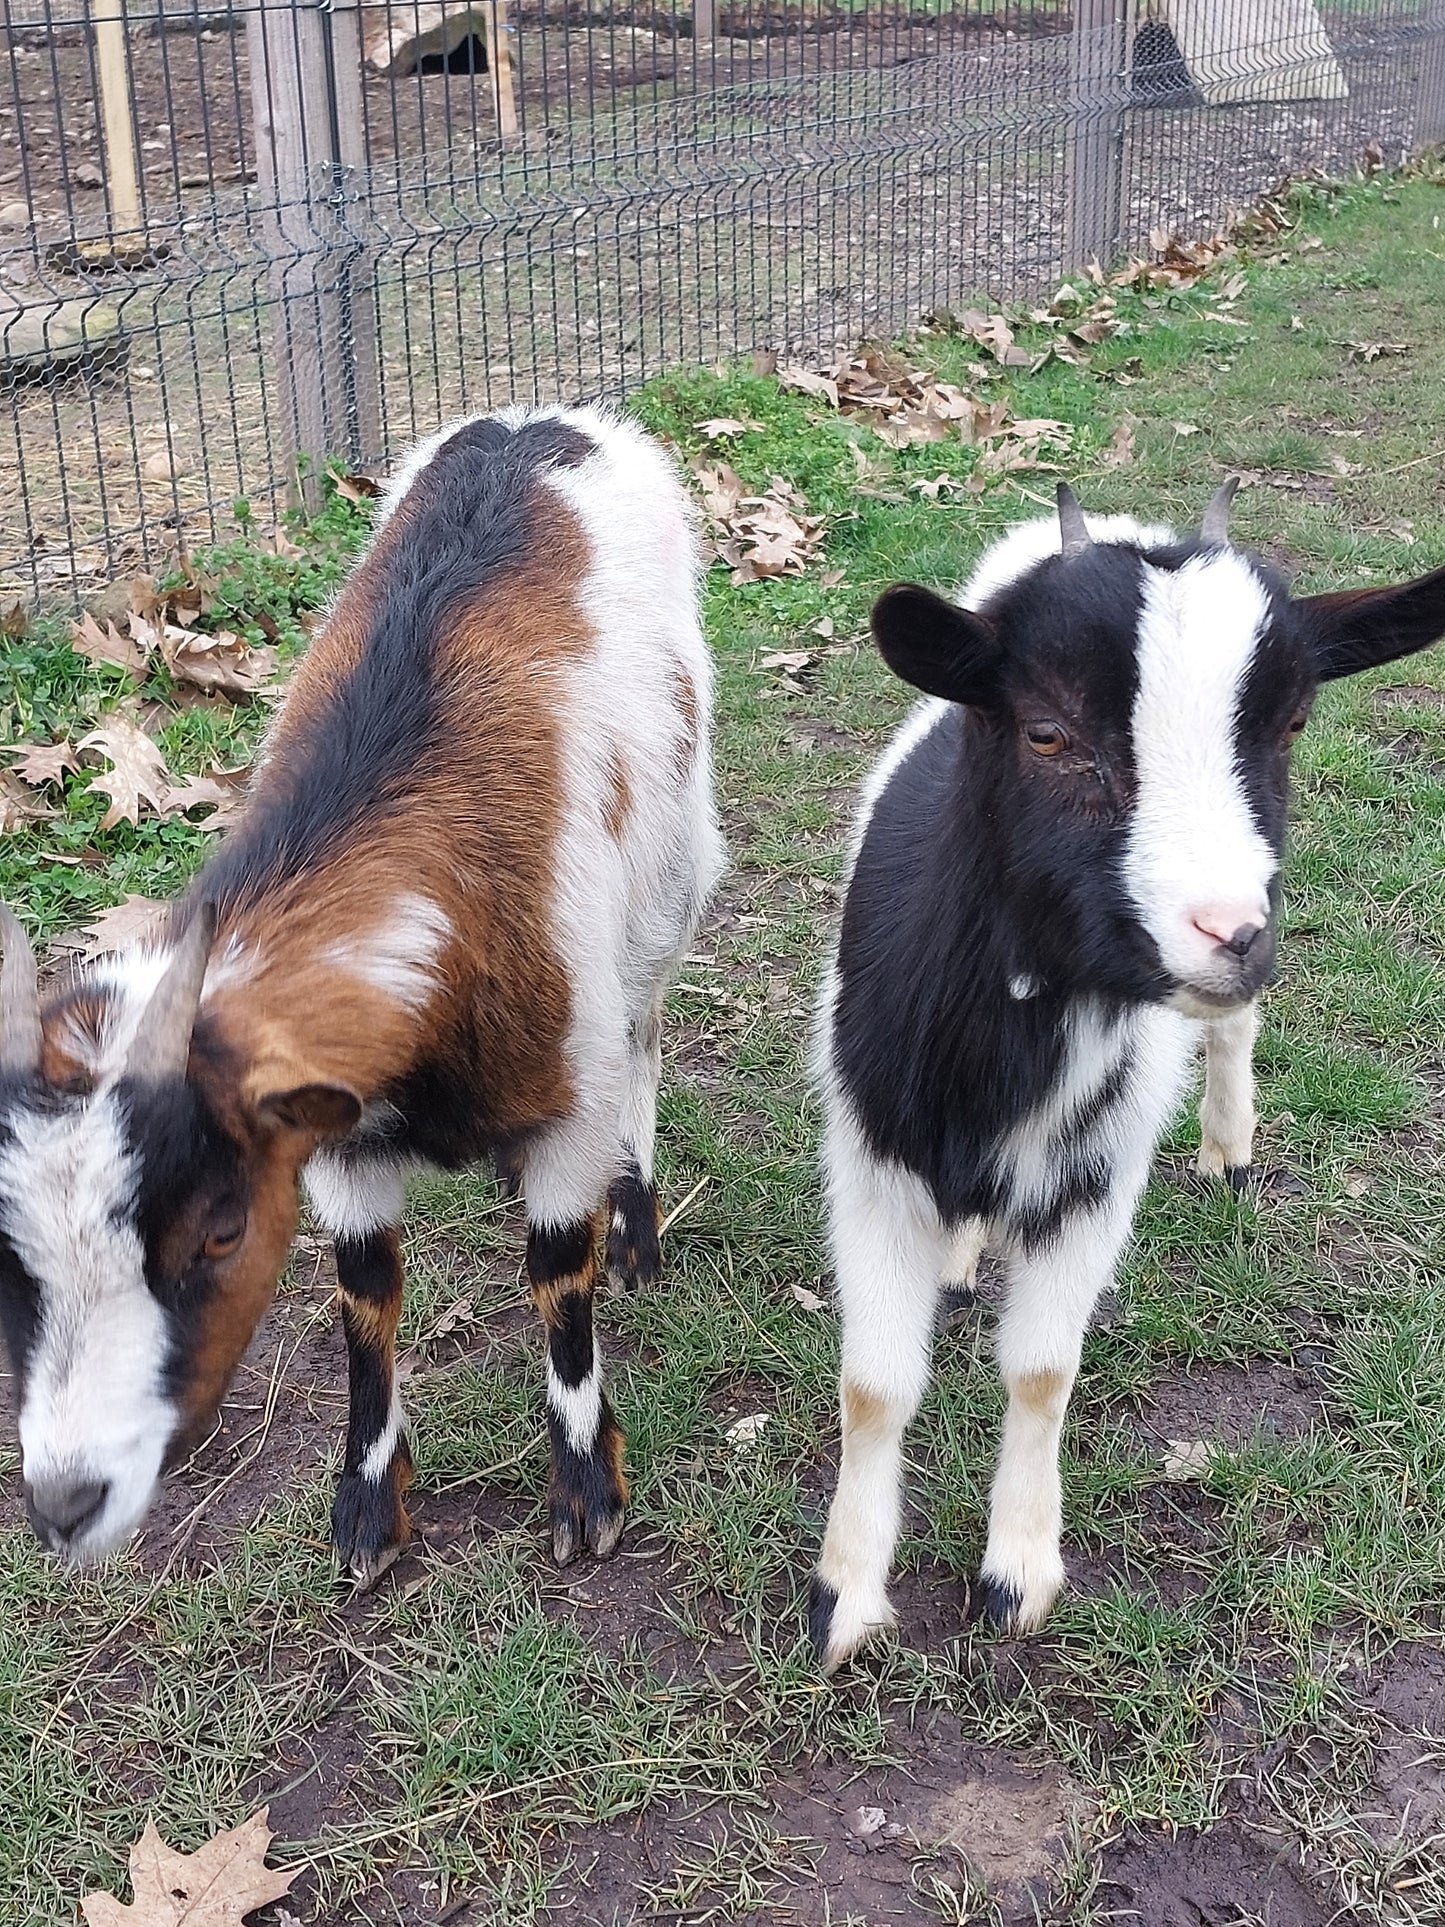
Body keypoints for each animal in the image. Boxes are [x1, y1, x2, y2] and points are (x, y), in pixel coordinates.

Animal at [0, 406, 724, 1580]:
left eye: (219, 1231)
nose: (66, 1501)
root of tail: (546, 417)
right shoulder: (334, 1130)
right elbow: (363, 1286)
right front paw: (368, 1503)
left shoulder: (568, 1092)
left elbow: (555, 1273)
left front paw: (586, 1489)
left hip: (669, 873)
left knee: (648, 1027)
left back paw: (637, 1225)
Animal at [809, 485, 1445, 1672]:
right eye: (1046, 731)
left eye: (1291, 724)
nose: (1232, 933)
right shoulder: (871, 1155)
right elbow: (872, 1387)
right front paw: (845, 1595)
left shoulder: (1096, 1172)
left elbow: (1039, 1373)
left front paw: (1015, 1570)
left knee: (1233, 1030)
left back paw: (1228, 1149)